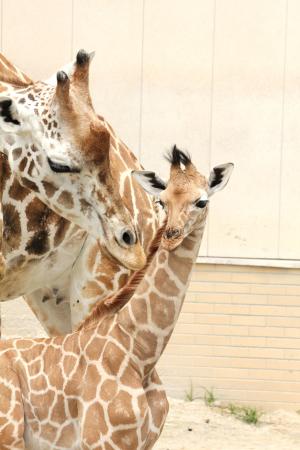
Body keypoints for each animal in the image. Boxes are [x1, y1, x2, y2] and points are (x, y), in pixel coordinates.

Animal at [0, 146, 232, 448]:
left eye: (201, 201)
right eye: (162, 202)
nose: (171, 235)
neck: (141, 354)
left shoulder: (144, 442)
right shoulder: (101, 440)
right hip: (10, 433)